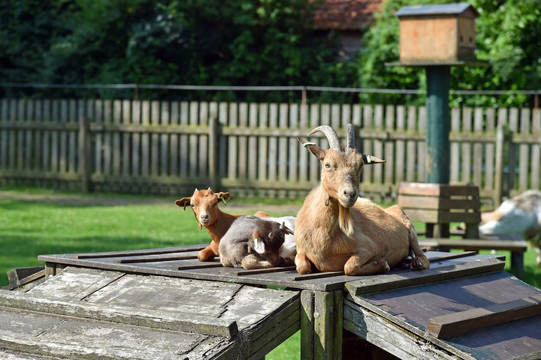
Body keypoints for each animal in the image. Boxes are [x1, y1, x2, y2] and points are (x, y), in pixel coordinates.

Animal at [294, 124, 428, 276]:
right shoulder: (300, 249)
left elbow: (349, 266)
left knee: (423, 257)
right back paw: (406, 262)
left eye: (361, 165)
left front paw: (382, 264)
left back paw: (415, 263)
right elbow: (302, 267)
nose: (349, 193)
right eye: (327, 165)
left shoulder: (368, 247)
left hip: (411, 230)